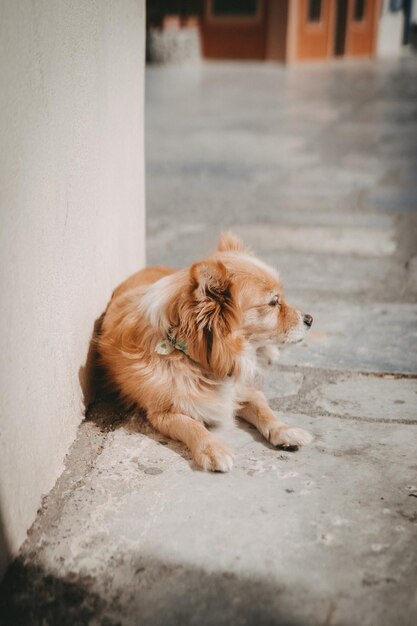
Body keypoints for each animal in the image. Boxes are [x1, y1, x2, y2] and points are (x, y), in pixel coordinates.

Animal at [97, 232, 312, 470]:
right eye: (274, 302)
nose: (310, 319)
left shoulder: (242, 387)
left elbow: (262, 408)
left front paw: (284, 430)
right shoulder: (163, 413)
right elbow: (192, 425)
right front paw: (213, 448)